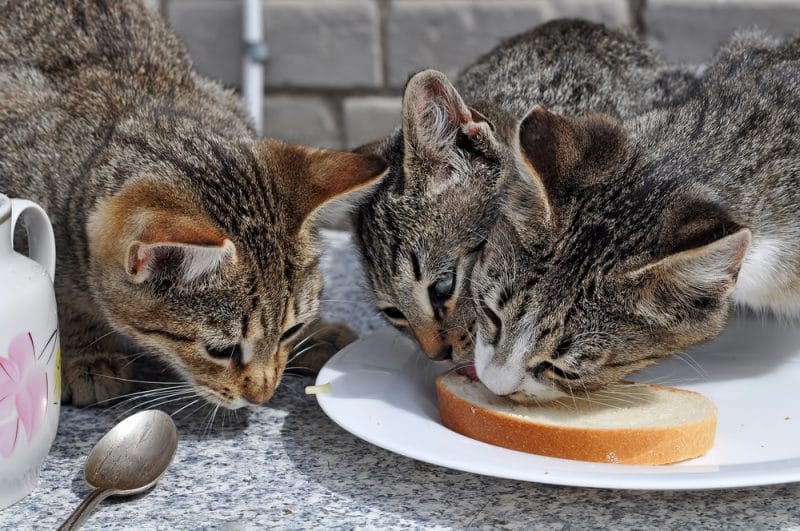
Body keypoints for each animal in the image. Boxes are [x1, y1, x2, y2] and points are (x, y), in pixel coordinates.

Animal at [0, 1, 388, 408]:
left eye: (290, 331)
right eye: (221, 351)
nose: (263, 395)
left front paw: (318, 333)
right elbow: (60, 295)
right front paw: (88, 355)